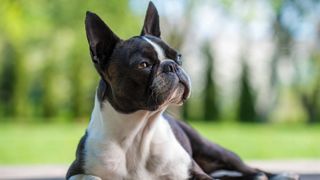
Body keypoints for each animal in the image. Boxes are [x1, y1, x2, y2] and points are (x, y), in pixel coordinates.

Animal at [66, 1, 298, 180]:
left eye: (178, 56)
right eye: (143, 65)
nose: (172, 66)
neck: (137, 136)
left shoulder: (196, 173)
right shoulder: (76, 171)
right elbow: (90, 176)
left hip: (213, 150)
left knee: (251, 169)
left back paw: (280, 174)